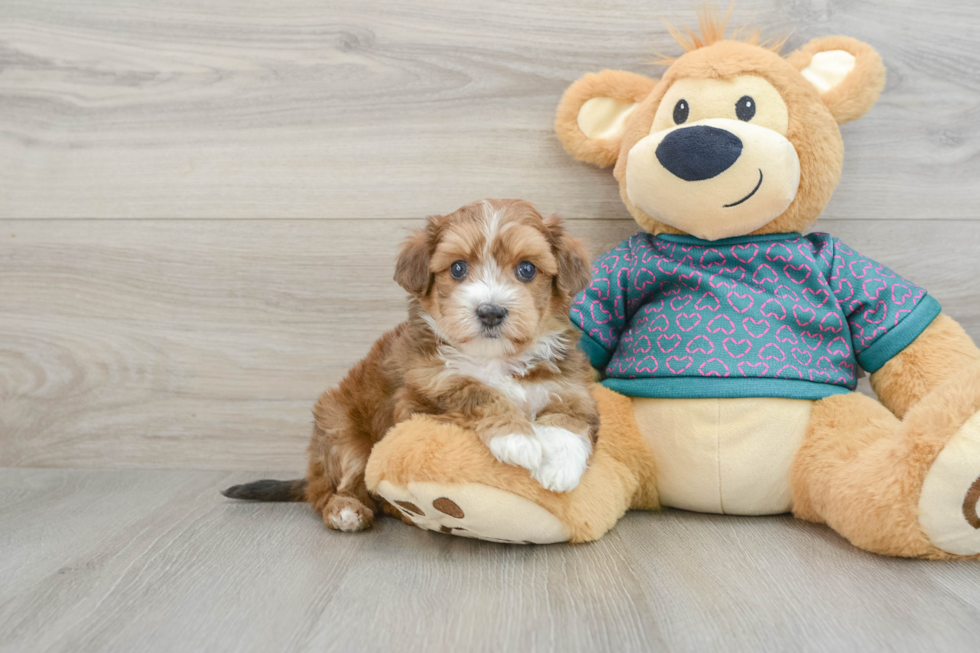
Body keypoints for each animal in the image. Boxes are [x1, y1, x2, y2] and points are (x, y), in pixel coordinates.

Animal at [224, 199, 596, 528]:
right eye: (458, 268)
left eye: (527, 269)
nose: (490, 312)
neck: (495, 358)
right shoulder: (417, 400)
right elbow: (472, 390)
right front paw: (517, 438)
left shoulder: (571, 385)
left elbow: (571, 418)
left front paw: (561, 466)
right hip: (341, 432)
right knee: (332, 489)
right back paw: (345, 511)